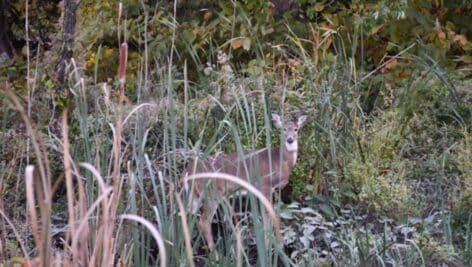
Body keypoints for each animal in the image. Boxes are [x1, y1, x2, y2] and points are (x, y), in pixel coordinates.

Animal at [183, 113, 308, 255]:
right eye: (284, 129)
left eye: (296, 129)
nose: (290, 139)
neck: (282, 161)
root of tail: (187, 172)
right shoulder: (265, 185)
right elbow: (270, 214)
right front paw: (276, 246)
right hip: (211, 193)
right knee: (203, 221)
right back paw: (215, 254)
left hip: (195, 195)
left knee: (187, 216)